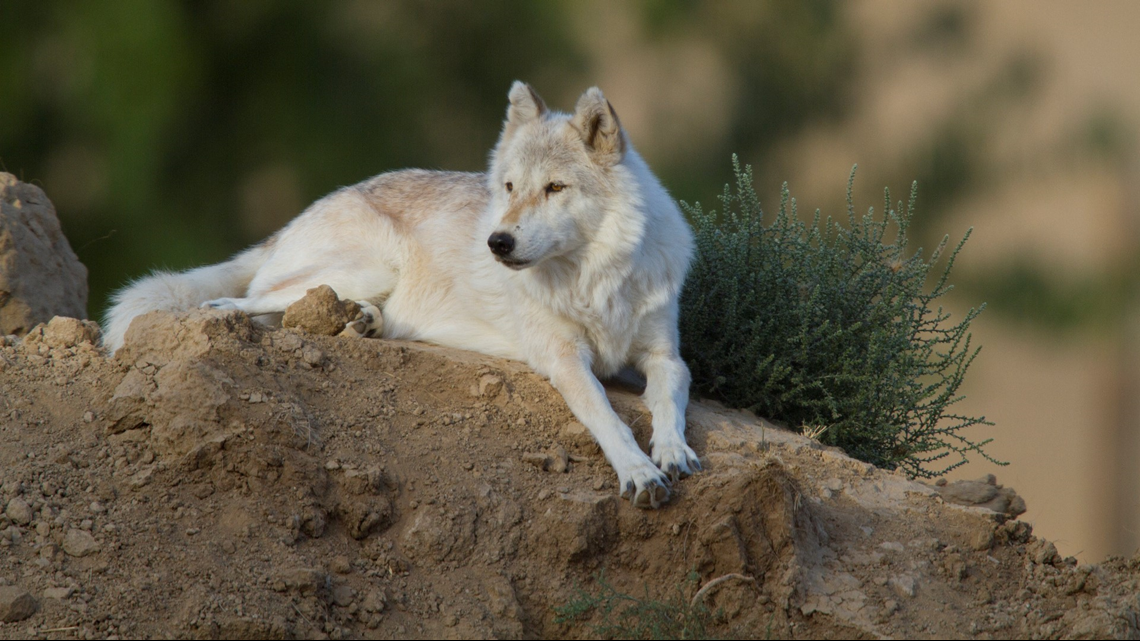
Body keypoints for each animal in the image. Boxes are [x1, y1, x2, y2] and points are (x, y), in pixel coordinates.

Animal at [102, 80, 697, 508]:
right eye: (509, 187)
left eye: (555, 188)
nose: (497, 242)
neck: (594, 280)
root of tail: (301, 214)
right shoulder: (563, 358)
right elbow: (605, 414)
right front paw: (640, 472)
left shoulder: (664, 354)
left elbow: (670, 394)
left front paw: (673, 452)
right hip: (374, 266)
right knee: (253, 300)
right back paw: (235, 310)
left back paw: (361, 321)